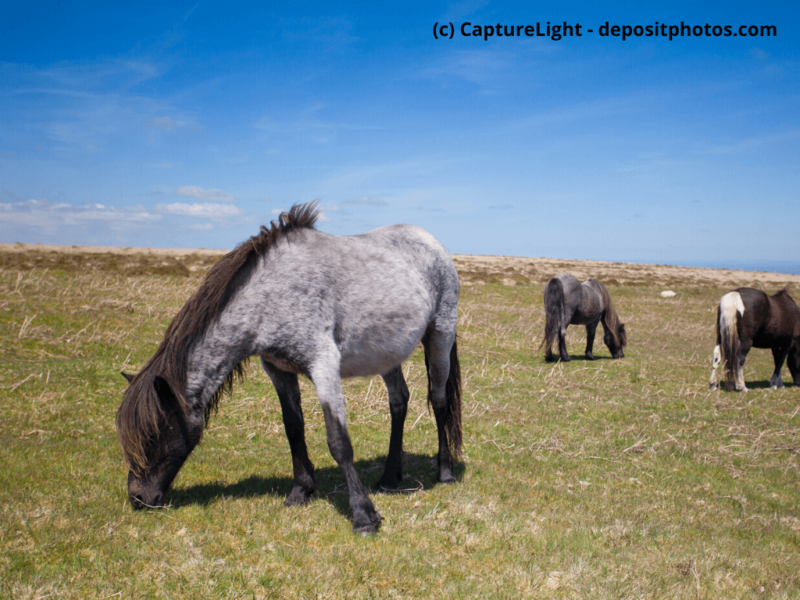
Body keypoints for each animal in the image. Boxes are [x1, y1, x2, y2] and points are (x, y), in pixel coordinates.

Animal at [116, 202, 462, 534]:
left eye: (153, 436)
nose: (138, 498)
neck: (271, 294)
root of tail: (432, 242)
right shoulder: (278, 370)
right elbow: (293, 429)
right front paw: (300, 491)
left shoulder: (324, 367)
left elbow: (339, 442)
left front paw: (363, 516)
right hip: (387, 353)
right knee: (399, 402)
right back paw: (390, 478)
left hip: (440, 335)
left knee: (439, 400)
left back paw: (445, 472)